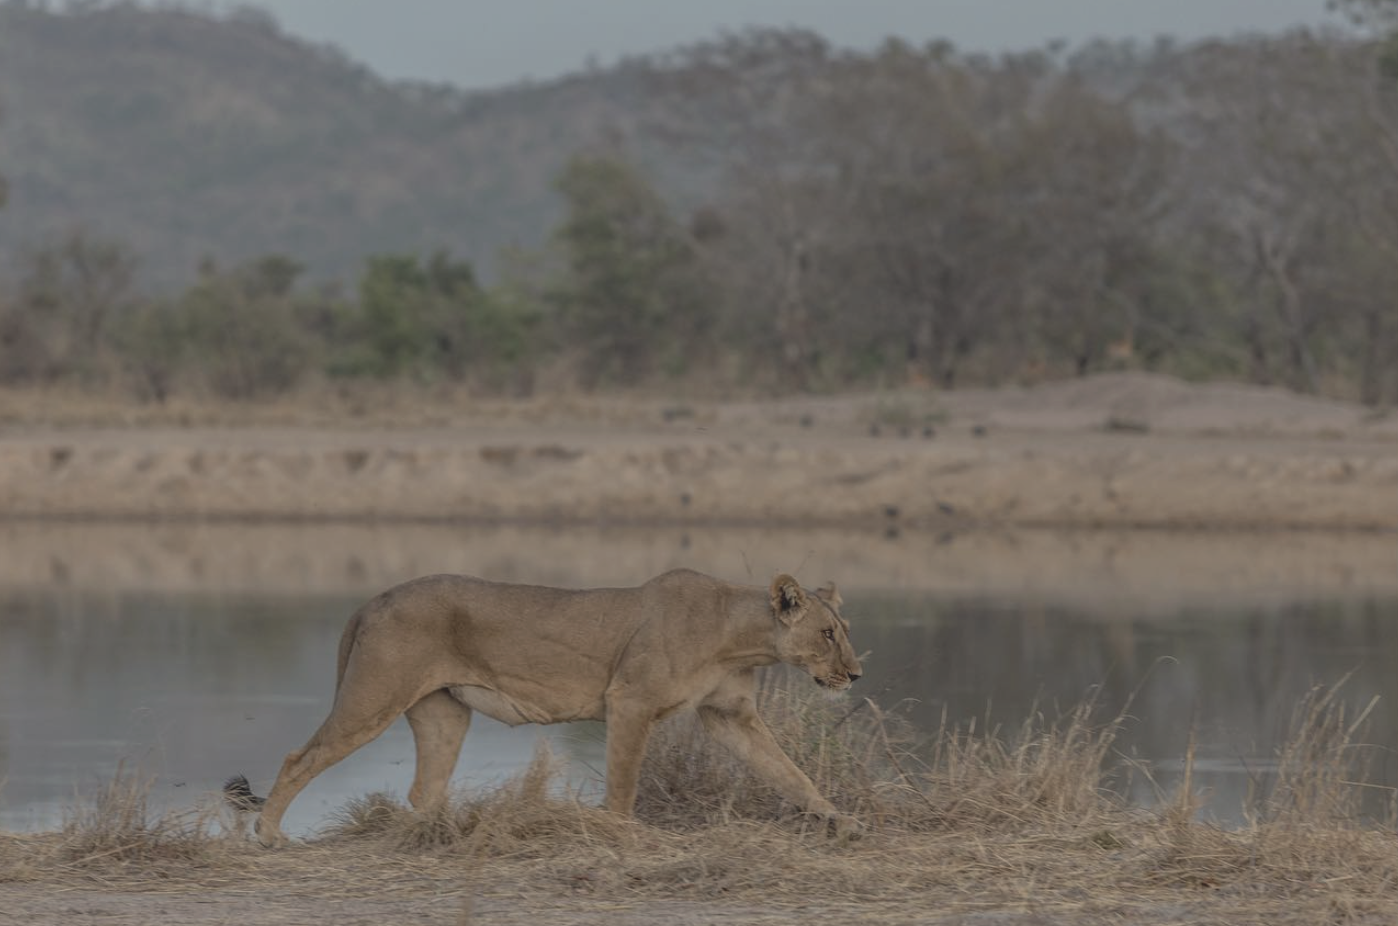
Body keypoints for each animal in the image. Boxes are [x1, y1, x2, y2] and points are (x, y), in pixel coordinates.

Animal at [233, 569, 864, 847]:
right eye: (828, 633)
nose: (856, 674)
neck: (739, 634)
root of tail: (371, 600)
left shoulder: (729, 716)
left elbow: (790, 773)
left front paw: (841, 820)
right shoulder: (629, 700)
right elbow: (623, 783)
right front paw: (621, 835)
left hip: (444, 714)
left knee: (423, 789)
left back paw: (454, 833)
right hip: (374, 697)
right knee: (298, 758)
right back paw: (269, 835)